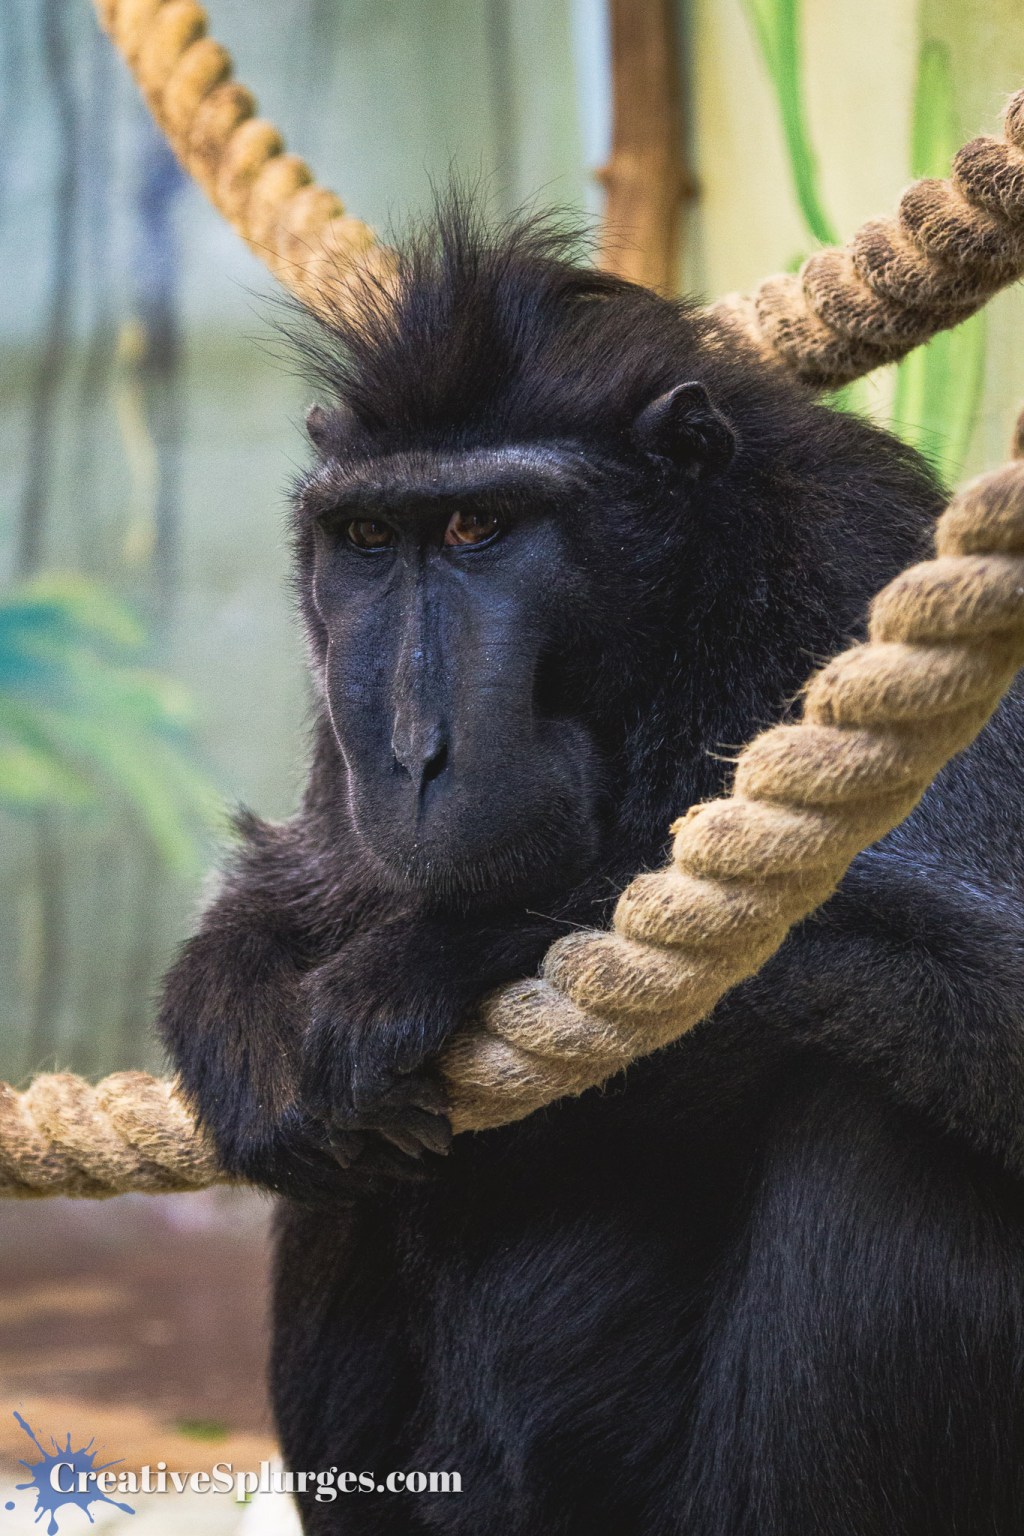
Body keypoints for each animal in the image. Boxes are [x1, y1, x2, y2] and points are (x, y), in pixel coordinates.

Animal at [159, 205, 1024, 1535]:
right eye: (368, 539)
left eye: (481, 529)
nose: (410, 749)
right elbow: (302, 886)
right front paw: (235, 993)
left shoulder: (861, 567)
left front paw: (451, 946)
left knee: (885, 1122)